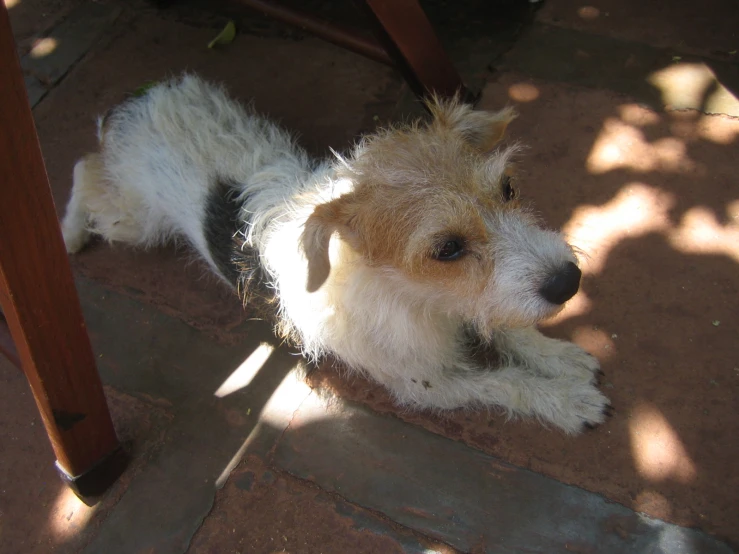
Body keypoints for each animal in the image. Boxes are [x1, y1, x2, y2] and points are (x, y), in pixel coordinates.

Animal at [63, 75, 608, 434]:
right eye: (447, 248)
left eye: (508, 188)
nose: (569, 281)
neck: (416, 296)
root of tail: (139, 98)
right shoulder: (424, 383)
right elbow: (504, 383)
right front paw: (565, 400)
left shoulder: (471, 303)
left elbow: (510, 328)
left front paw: (557, 356)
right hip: (134, 221)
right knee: (83, 167)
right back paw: (69, 233)